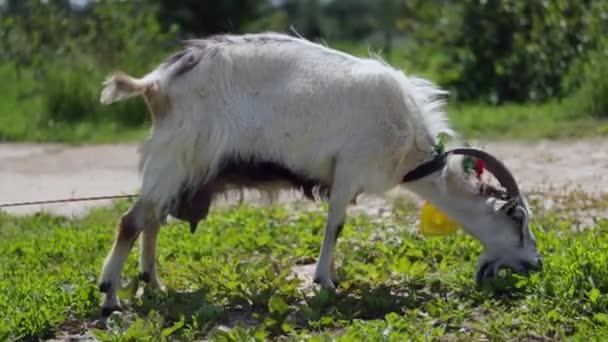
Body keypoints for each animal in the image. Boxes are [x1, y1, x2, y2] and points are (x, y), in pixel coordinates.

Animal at [98, 32, 540, 316]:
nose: (535, 264)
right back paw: (110, 297)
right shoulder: (347, 171)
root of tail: (156, 84)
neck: (408, 146)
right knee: (131, 221)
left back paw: (154, 285)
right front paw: (326, 282)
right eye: (515, 216)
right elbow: (336, 226)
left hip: (180, 170)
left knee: (151, 221)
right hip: (175, 158)